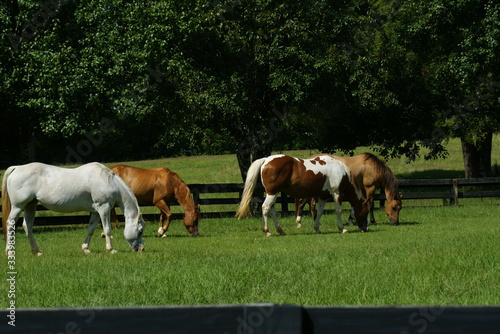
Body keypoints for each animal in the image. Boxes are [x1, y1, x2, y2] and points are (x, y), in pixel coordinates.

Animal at [2, 162, 145, 256]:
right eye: (140, 231)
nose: (141, 249)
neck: (108, 180)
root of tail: (17, 168)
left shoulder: (95, 211)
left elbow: (90, 230)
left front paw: (86, 249)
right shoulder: (104, 208)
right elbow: (107, 230)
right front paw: (111, 250)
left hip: (30, 205)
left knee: (27, 226)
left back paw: (37, 252)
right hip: (18, 206)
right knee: (10, 223)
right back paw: (9, 251)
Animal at [236, 155, 370, 236]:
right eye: (366, 211)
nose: (365, 229)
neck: (340, 170)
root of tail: (266, 159)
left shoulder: (323, 196)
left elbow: (319, 212)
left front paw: (317, 228)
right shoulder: (337, 193)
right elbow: (338, 211)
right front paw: (343, 228)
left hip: (273, 193)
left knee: (272, 210)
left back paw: (280, 230)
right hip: (272, 192)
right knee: (265, 208)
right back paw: (267, 231)